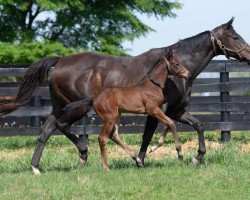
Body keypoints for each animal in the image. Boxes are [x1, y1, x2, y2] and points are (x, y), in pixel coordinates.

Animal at [59, 49, 190, 170]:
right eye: (176, 63)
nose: (187, 74)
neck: (152, 86)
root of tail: (95, 98)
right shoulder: (153, 110)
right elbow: (171, 123)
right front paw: (180, 153)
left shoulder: (159, 110)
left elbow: (168, 124)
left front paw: (155, 148)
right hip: (110, 118)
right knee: (102, 138)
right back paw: (106, 167)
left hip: (117, 116)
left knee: (114, 135)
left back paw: (137, 159)